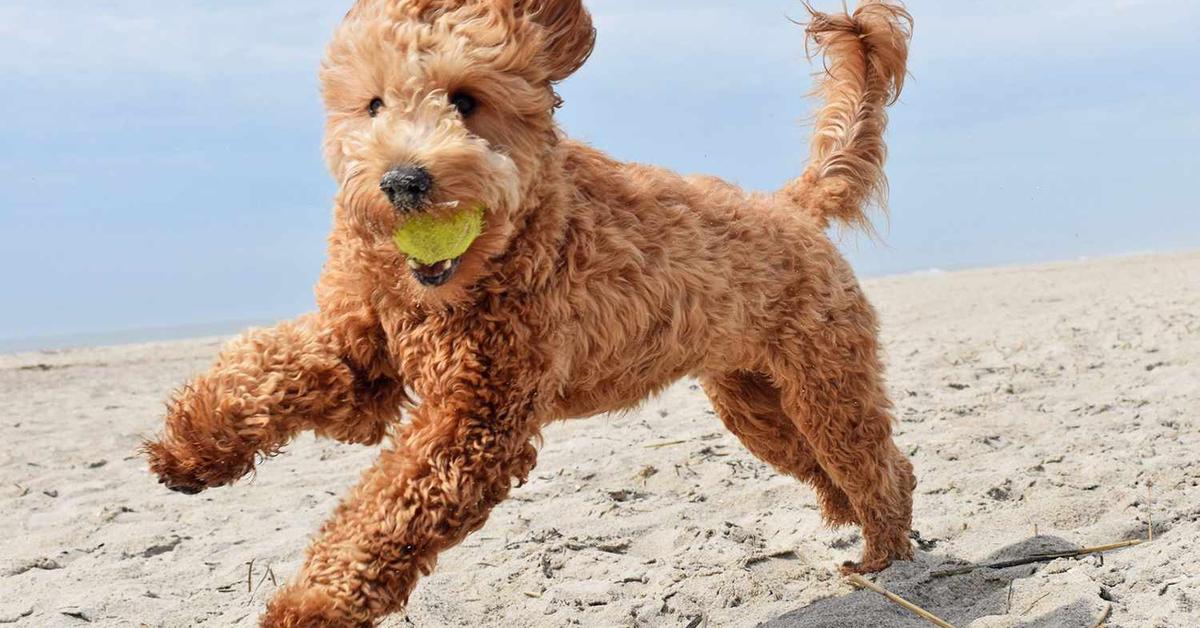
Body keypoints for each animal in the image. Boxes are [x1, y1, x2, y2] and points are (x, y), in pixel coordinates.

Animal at [150, 2, 916, 624]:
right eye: (372, 104)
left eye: (466, 100)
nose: (402, 182)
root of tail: (790, 205)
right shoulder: (361, 349)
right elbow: (265, 370)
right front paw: (192, 446)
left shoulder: (477, 419)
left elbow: (383, 515)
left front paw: (311, 604)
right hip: (755, 403)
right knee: (832, 464)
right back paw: (851, 520)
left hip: (826, 384)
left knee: (878, 464)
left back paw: (882, 552)